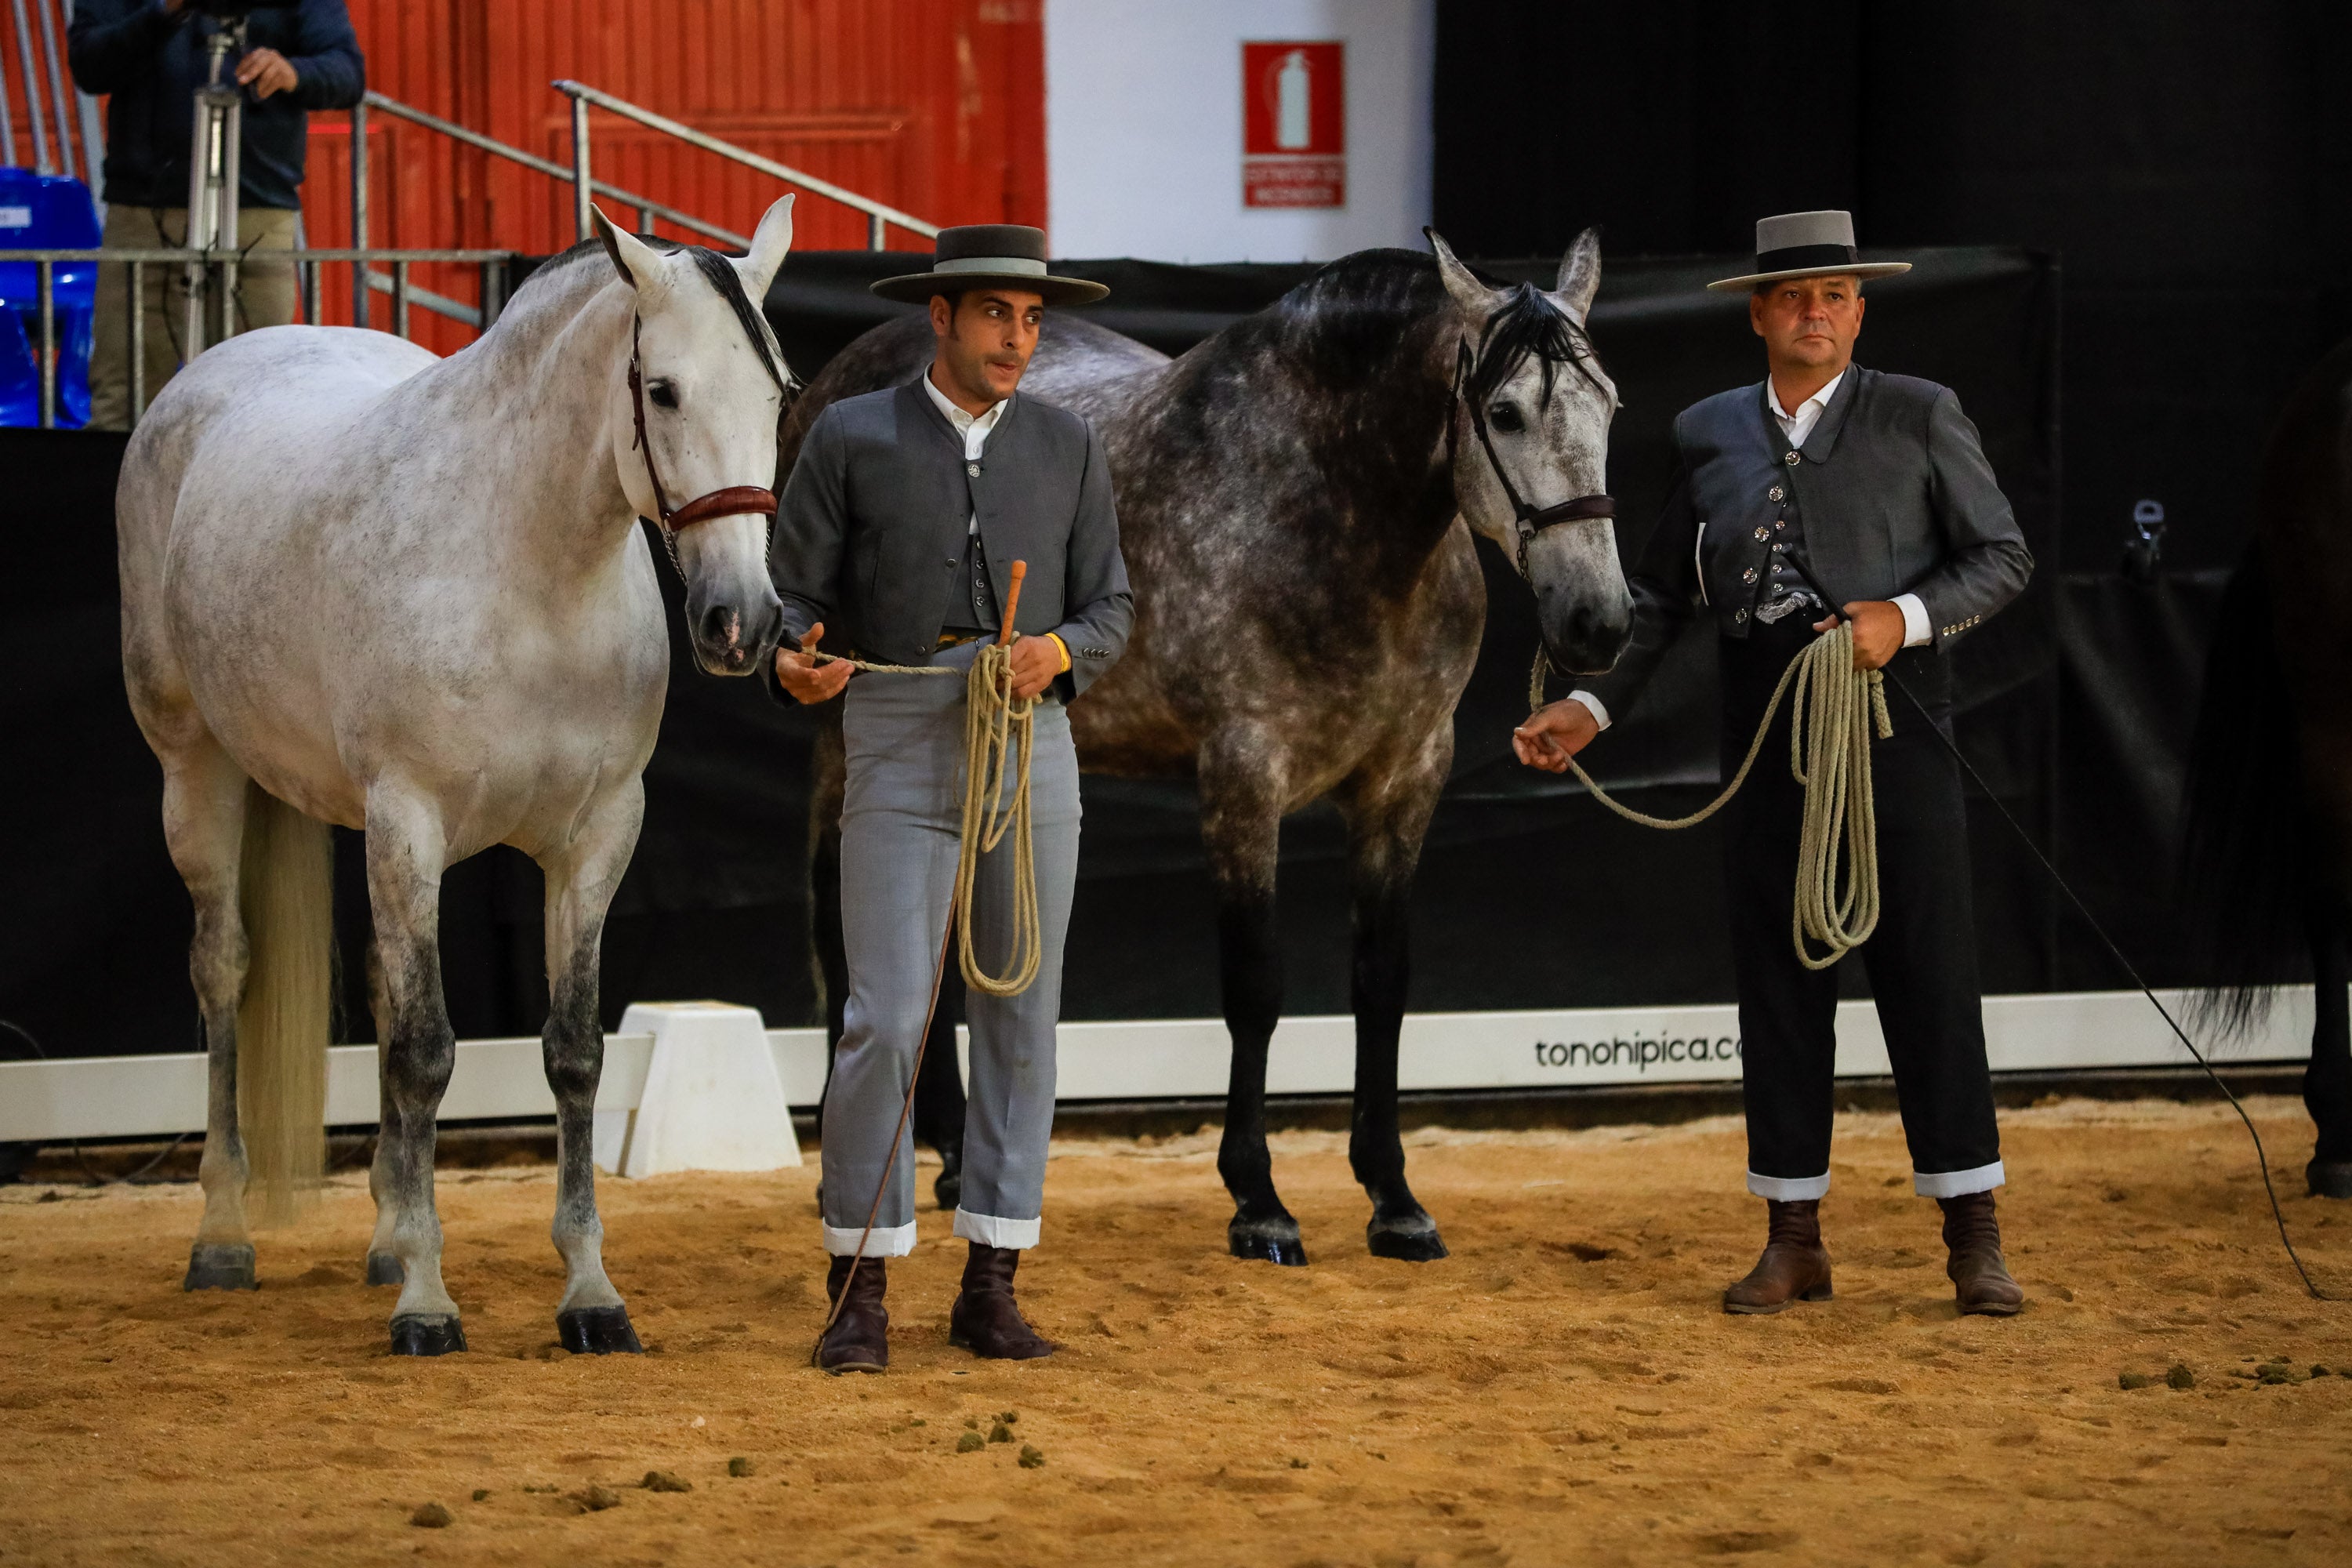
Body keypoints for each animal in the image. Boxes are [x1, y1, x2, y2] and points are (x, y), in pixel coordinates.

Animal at [117, 192, 800, 1354]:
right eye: (662, 389)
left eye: (780, 393)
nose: (739, 623)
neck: (529, 572)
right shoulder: (410, 819)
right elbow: (428, 1053)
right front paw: (429, 1306)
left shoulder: (595, 838)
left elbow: (569, 1050)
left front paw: (589, 1294)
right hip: (195, 772)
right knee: (223, 971)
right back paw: (224, 1238)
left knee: (382, 988)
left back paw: (388, 1236)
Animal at [800, 232, 1628, 1260]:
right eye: (1506, 413)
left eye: (1610, 405)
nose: (1599, 621)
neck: (1327, 509)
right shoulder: (1242, 777)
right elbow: (1255, 986)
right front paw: (1259, 1198)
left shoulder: (1406, 778)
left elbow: (1381, 982)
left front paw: (1393, 1196)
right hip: (849, 733)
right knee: (844, 917)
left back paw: (952, 1156)